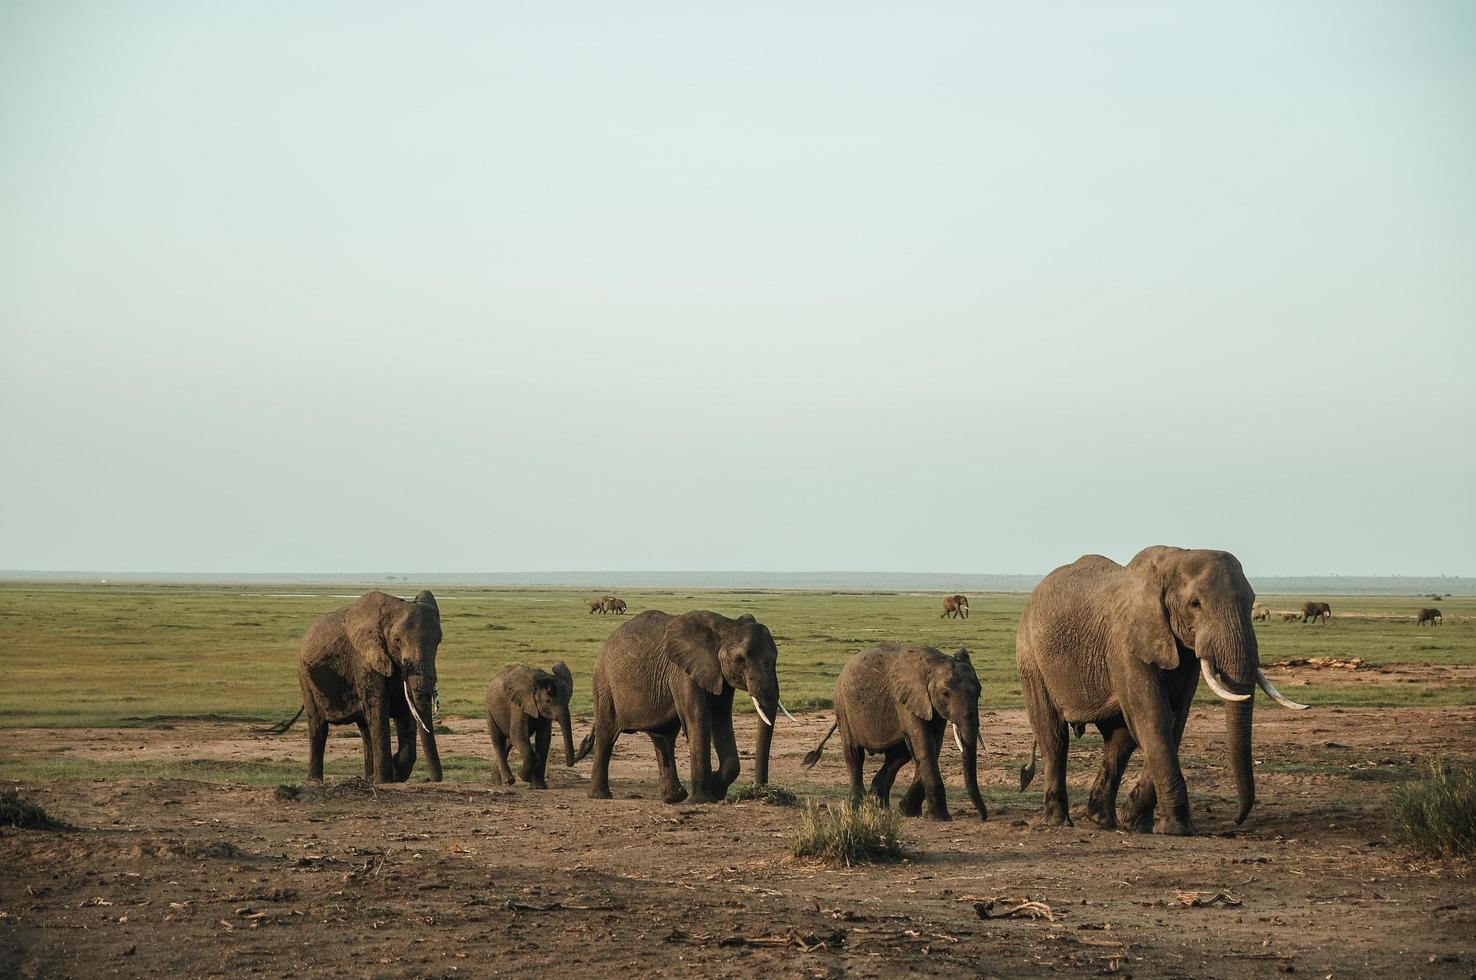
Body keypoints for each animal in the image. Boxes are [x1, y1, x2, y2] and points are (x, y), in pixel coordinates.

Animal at [262, 590, 442, 791]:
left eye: (438, 641)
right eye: (397, 640)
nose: (433, 780)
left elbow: (406, 712)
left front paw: (392, 773)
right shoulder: (364, 661)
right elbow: (379, 710)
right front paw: (385, 780)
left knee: (365, 729)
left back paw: (368, 778)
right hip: (304, 676)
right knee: (318, 726)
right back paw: (315, 782)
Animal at [484, 658, 575, 791]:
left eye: (568, 700)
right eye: (548, 701)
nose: (569, 764)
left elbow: (543, 739)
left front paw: (539, 787)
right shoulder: (518, 705)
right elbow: (518, 735)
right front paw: (523, 775)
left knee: (509, 742)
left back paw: (497, 781)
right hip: (490, 709)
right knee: (498, 740)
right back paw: (508, 781)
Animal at [572, 613, 791, 802]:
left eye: (775, 658)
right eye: (740, 659)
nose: (762, 791)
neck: (726, 626)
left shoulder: (719, 675)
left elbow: (722, 720)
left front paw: (715, 788)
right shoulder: (683, 672)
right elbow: (699, 718)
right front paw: (703, 800)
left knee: (663, 737)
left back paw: (674, 798)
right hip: (604, 685)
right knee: (607, 734)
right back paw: (600, 796)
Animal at [802, 643, 985, 820]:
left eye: (979, 692)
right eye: (946, 694)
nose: (983, 817)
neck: (934, 664)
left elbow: (933, 745)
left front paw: (909, 811)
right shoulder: (906, 701)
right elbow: (924, 745)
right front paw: (939, 818)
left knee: (898, 756)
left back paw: (878, 804)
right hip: (842, 706)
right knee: (854, 754)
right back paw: (858, 807)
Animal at [1015, 546, 1316, 838]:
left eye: (1251, 602)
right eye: (1195, 604)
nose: (1238, 820)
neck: (1175, 560)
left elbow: (1173, 721)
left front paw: (1136, 822)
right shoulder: (1126, 644)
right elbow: (1154, 719)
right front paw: (1178, 829)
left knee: (1119, 740)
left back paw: (1101, 820)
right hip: (1030, 656)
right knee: (1054, 736)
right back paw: (1057, 822)